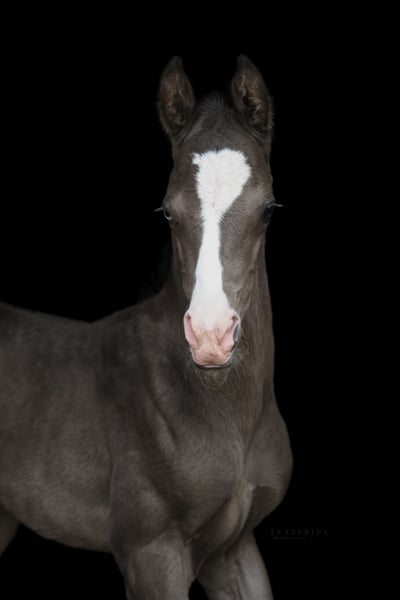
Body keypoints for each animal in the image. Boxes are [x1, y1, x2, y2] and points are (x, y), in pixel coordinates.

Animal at [0, 55, 292, 599]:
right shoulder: (150, 550)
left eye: (267, 210)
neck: (229, 419)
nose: (211, 338)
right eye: (168, 213)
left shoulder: (234, 549)